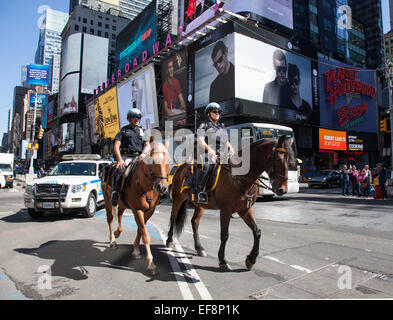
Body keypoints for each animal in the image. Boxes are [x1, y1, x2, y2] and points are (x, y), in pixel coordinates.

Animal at [100, 141, 169, 276]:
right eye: (153, 161)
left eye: (168, 161)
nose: (162, 187)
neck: (146, 185)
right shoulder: (137, 210)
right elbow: (145, 235)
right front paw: (151, 264)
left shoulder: (149, 211)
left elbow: (140, 230)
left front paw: (136, 251)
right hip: (107, 201)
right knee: (110, 219)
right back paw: (112, 241)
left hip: (122, 203)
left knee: (120, 215)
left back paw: (118, 232)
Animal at [165, 134, 294, 270]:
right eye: (278, 159)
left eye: (290, 161)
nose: (282, 190)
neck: (240, 178)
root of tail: (180, 167)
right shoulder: (225, 210)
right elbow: (224, 234)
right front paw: (222, 260)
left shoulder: (245, 210)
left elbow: (257, 231)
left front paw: (251, 259)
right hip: (178, 198)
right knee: (173, 217)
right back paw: (169, 240)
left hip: (199, 205)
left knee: (195, 222)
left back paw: (199, 248)